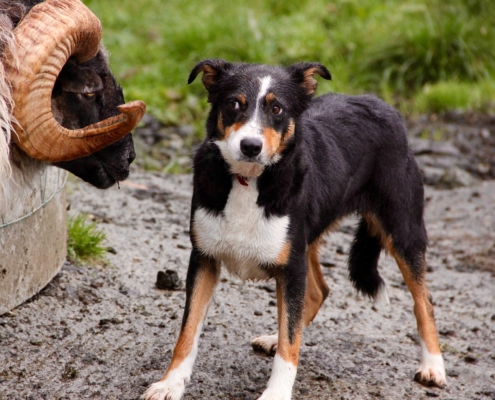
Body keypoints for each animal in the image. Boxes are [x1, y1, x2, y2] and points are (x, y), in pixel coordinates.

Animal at [141, 59, 448, 400]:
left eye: (277, 108)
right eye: (234, 104)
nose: (250, 146)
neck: (249, 180)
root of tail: (381, 105)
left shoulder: (290, 268)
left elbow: (290, 344)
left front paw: (276, 393)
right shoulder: (204, 259)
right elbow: (188, 332)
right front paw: (170, 384)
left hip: (402, 230)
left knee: (424, 301)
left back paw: (433, 367)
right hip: (306, 240)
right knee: (317, 292)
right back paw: (275, 337)